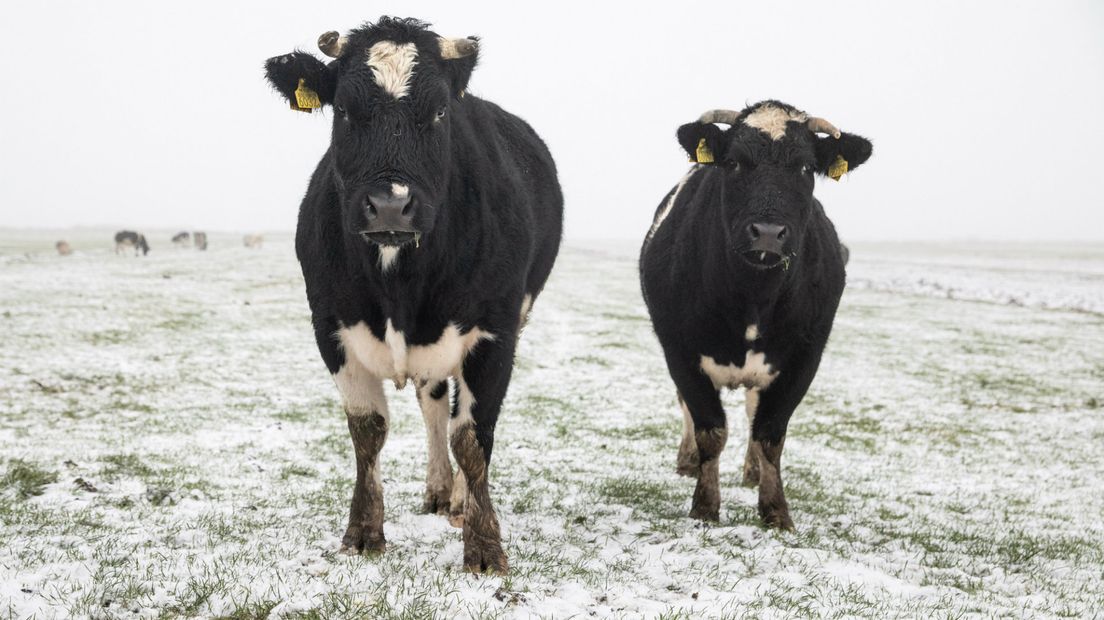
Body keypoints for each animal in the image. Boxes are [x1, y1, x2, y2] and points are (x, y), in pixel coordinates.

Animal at [263, 15, 565, 573]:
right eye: (344, 108)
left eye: (440, 110)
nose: (389, 205)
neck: (398, 283)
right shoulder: (331, 327)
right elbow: (369, 431)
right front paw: (363, 532)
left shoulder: (495, 333)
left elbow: (473, 438)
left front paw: (484, 546)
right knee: (432, 402)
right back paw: (440, 491)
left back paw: (461, 500)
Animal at [640, 100, 869, 525]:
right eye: (733, 163)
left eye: (805, 167)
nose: (767, 233)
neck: (754, 296)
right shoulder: (679, 349)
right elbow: (710, 428)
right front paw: (705, 506)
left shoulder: (804, 357)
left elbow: (770, 433)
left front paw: (776, 510)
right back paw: (688, 462)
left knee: (751, 412)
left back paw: (752, 471)